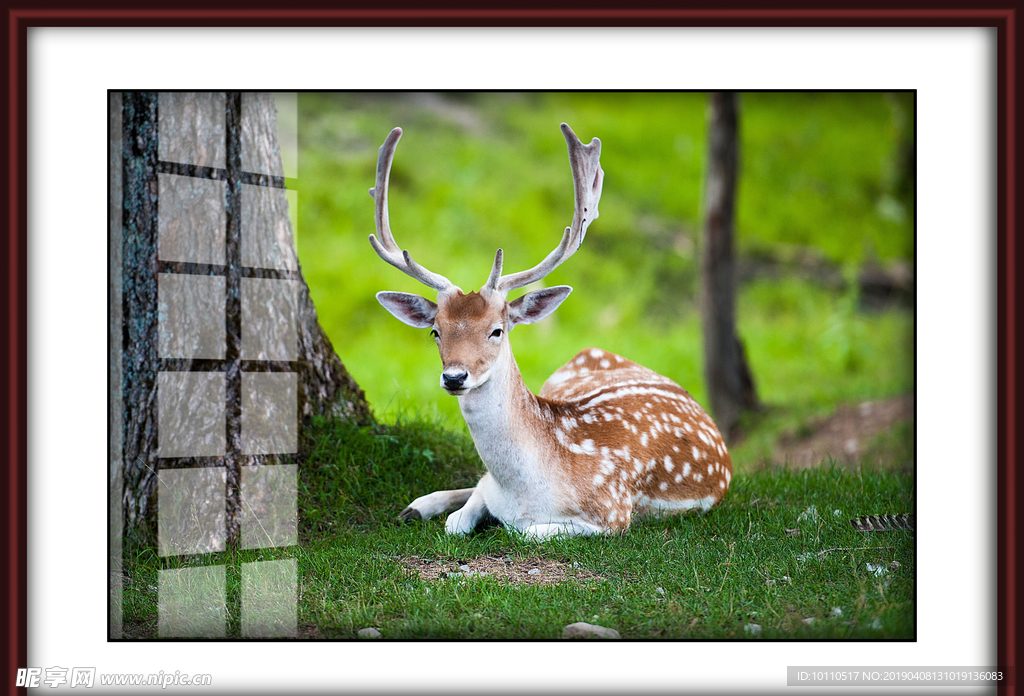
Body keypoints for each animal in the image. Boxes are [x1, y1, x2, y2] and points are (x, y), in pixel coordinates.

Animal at [368, 123, 729, 536]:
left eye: (497, 330)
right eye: (436, 332)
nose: (455, 377)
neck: (525, 490)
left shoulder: (613, 513)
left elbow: (522, 530)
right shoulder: (492, 488)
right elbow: (460, 518)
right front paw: (434, 508)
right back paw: (416, 506)